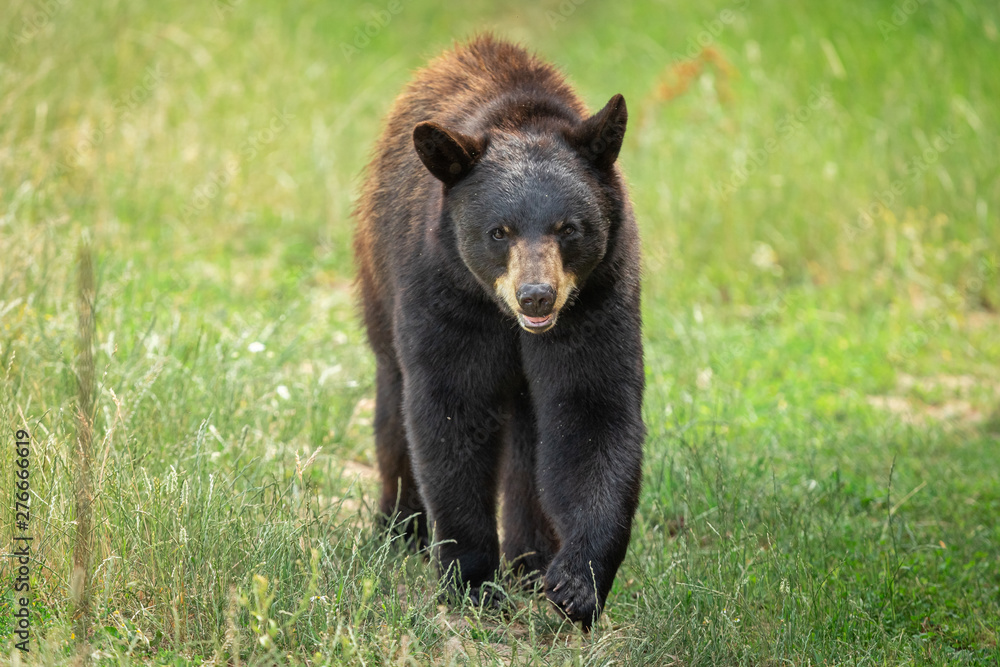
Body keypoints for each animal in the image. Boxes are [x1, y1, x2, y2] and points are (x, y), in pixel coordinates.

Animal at [353, 35, 644, 629]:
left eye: (569, 227)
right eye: (498, 231)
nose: (537, 296)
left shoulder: (600, 297)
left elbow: (593, 411)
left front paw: (576, 582)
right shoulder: (445, 293)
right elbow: (450, 411)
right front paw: (472, 579)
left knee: (532, 440)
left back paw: (530, 561)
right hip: (378, 284)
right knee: (394, 404)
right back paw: (401, 528)